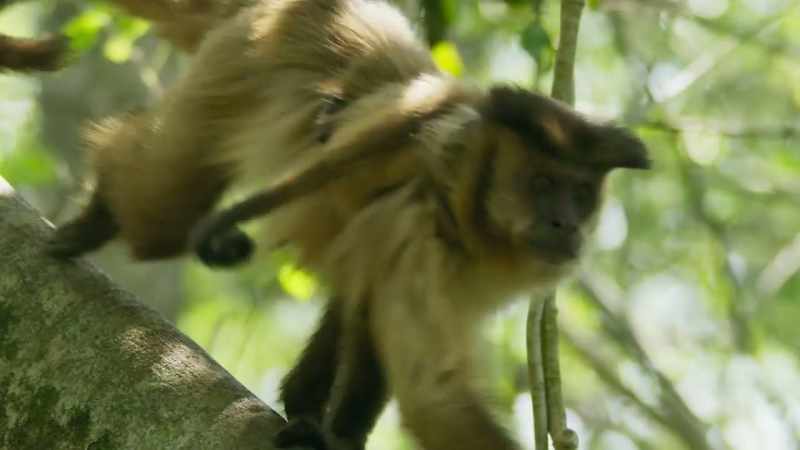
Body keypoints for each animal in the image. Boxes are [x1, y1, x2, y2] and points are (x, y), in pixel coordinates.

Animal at [47, 1, 650, 449]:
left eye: (580, 194)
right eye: (542, 185)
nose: (565, 222)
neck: (466, 213)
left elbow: (369, 316)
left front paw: (324, 423)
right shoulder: (419, 228)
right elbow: (434, 399)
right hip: (243, 59)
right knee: (163, 219)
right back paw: (98, 209)